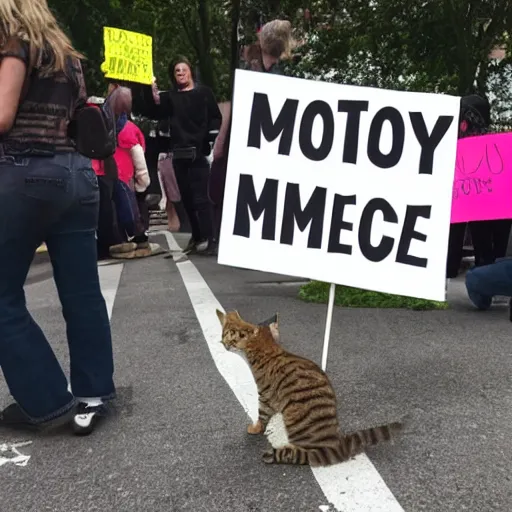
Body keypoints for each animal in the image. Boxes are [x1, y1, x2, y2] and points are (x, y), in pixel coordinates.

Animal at [215, 310, 400, 466]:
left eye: (227, 337)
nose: (222, 344)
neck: (268, 348)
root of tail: (338, 443)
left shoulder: (266, 396)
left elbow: (262, 415)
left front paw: (255, 428)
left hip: (295, 420)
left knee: (307, 456)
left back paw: (275, 454)